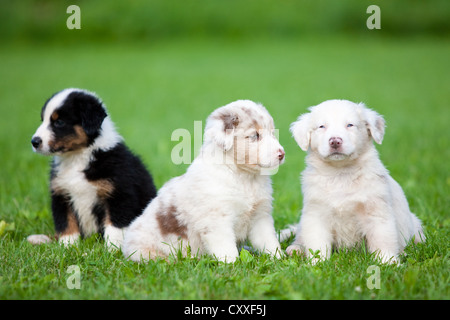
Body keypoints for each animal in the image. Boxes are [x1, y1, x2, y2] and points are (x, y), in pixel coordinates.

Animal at [29, 89, 157, 249]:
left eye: (59, 122)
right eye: (43, 120)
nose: (34, 142)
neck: (77, 157)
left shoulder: (119, 193)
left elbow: (115, 225)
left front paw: (113, 248)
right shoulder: (61, 193)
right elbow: (66, 223)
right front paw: (68, 246)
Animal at [123, 100, 284, 262]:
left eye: (272, 133)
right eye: (255, 135)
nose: (282, 154)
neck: (244, 178)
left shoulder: (260, 217)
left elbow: (269, 241)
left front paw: (279, 258)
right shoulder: (217, 221)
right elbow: (227, 249)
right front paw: (232, 264)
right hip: (144, 250)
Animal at [286, 99, 424, 262]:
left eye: (350, 125)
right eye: (322, 126)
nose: (335, 141)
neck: (340, 173)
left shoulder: (377, 212)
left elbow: (383, 240)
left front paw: (388, 262)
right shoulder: (316, 213)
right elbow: (317, 244)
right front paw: (318, 263)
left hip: (415, 226)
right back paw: (296, 249)